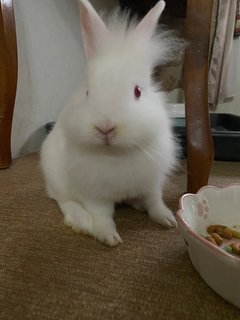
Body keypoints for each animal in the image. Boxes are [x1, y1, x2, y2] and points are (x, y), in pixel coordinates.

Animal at [41, 0, 179, 246]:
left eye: (138, 91)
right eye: (87, 92)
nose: (105, 127)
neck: (115, 153)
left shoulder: (152, 183)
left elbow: (155, 202)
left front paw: (167, 220)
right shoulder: (94, 194)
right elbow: (102, 215)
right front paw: (108, 237)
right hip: (56, 177)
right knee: (63, 200)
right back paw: (81, 221)